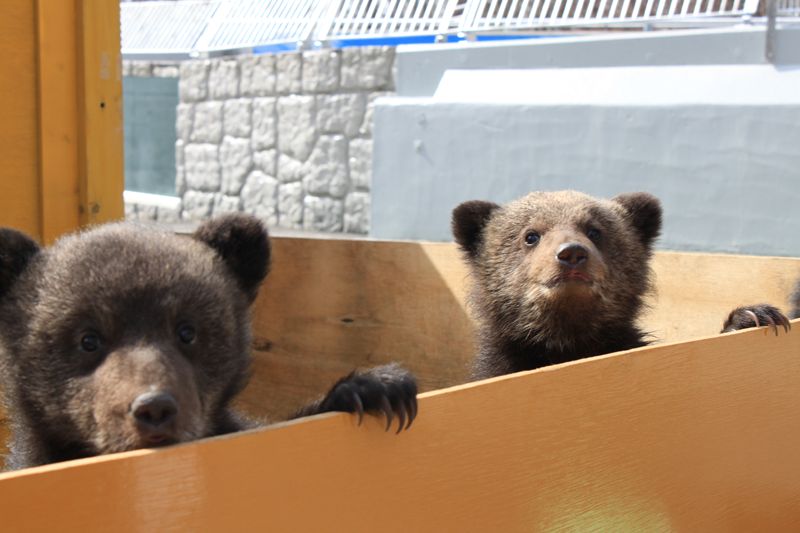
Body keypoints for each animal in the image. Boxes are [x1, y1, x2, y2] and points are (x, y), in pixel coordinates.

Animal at [452, 190, 789, 380]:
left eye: (594, 230)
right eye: (531, 235)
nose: (571, 254)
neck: (567, 343)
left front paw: (750, 316)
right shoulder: (504, 363)